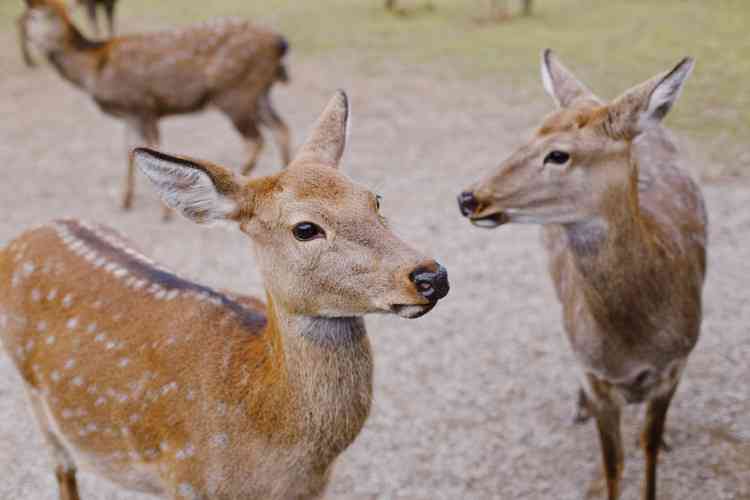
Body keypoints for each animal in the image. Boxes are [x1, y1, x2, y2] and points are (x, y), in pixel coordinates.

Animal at [0, 91, 450, 500]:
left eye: (375, 199)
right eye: (305, 228)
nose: (431, 275)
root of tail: (25, 237)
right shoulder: (186, 480)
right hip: (34, 393)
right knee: (63, 468)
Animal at [17, 0, 294, 219]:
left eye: (37, 16)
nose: (33, 40)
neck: (94, 70)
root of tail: (280, 43)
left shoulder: (144, 106)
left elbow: (153, 147)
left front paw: (164, 211)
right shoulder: (129, 115)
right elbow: (127, 150)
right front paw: (125, 200)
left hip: (235, 93)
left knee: (255, 139)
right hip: (259, 93)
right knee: (281, 127)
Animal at [458, 51, 712, 500]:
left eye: (559, 154)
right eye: (529, 135)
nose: (469, 198)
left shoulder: (677, 362)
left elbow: (647, 448)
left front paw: (659, 444)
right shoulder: (597, 376)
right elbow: (612, 465)